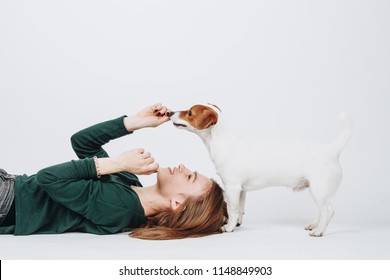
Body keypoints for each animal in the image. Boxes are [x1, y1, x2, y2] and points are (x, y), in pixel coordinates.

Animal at [169, 104, 352, 236]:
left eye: (190, 112)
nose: (170, 112)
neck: (222, 141)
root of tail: (331, 150)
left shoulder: (232, 187)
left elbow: (232, 208)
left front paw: (229, 227)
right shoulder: (241, 190)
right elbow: (240, 208)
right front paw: (237, 223)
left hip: (319, 190)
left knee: (328, 211)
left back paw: (319, 231)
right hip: (318, 192)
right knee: (322, 211)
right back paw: (314, 225)